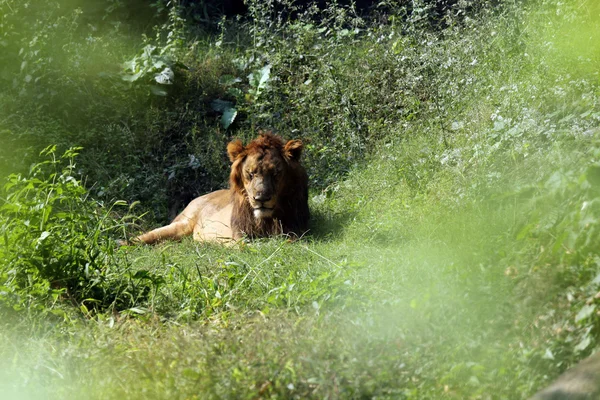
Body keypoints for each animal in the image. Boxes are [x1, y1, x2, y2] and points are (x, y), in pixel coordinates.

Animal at [132, 131, 310, 244]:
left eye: (275, 173)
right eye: (250, 173)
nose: (261, 199)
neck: (264, 220)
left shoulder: (296, 230)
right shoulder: (238, 235)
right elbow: (244, 246)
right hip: (182, 224)